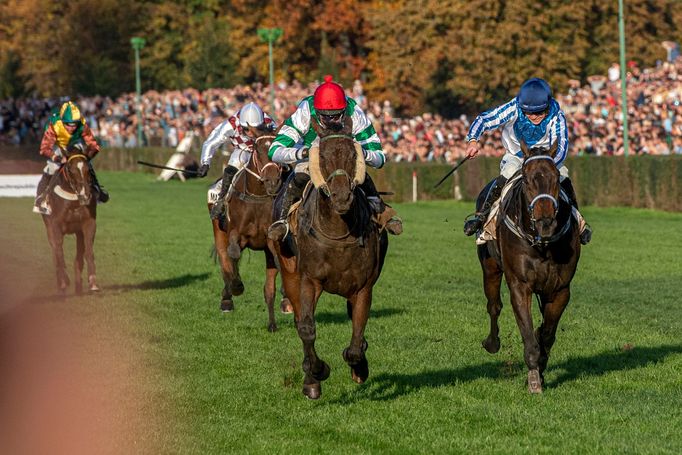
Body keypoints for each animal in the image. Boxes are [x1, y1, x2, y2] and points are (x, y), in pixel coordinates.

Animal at [41, 153, 99, 296]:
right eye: (71, 170)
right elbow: (59, 251)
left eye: (88, 170)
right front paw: (63, 281)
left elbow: (88, 250)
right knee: (55, 251)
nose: (85, 195)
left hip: (78, 233)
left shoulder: (88, 224)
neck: (73, 201)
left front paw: (93, 283)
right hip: (48, 227)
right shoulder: (55, 225)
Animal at [209, 127, 290, 332]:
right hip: (219, 232)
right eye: (257, 149)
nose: (272, 181)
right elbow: (233, 254)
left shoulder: (271, 239)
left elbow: (277, 267)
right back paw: (227, 298)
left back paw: (273, 321)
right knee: (225, 259)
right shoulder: (236, 235)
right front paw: (236, 286)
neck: (257, 198)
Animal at [270, 117, 388, 400]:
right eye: (322, 156)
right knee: (299, 320)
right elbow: (306, 328)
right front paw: (317, 372)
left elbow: (357, 335)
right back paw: (310, 379)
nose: (342, 196)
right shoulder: (309, 280)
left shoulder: (363, 287)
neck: (338, 231)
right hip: (289, 272)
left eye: (352, 155)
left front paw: (359, 367)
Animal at [472, 141, 580, 394]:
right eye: (528, 180)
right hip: (490, 266)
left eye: (556, 179)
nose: (546, 222)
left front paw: (540, 369)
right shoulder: (520, 286)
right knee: (494, 306)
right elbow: (529, 335)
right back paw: (492, 343)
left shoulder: (561, 289)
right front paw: (533, 380)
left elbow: (547, 335)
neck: (542, 243)